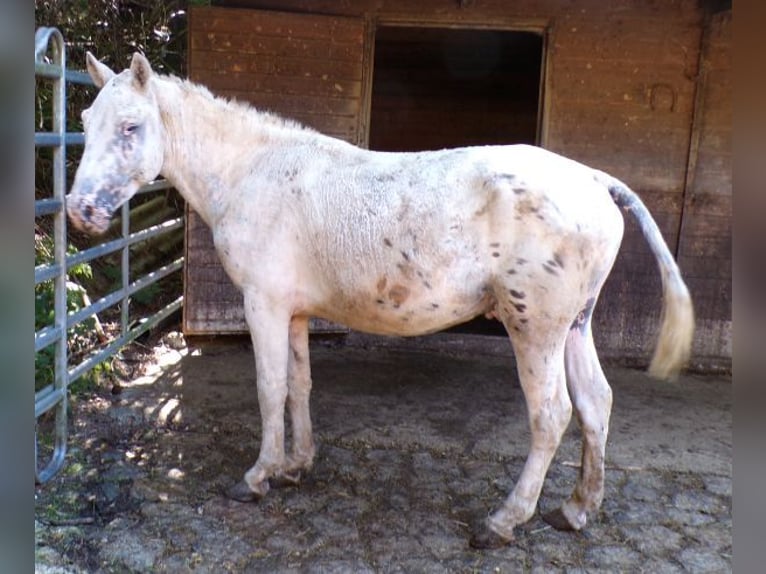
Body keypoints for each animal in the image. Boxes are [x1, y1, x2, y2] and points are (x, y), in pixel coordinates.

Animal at [66, 53, 696, 548]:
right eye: (86, 122)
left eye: (130, 126)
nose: (81, 211)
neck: (253, 171)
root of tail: (593, 180)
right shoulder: (294, 312)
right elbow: (298, 385)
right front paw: (296, 465)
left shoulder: (263, 305)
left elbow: (269, 389)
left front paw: (258, 476)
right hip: (573, 327)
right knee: (595, 403)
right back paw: (577, 509)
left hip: (535, 329)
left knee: (552, 416)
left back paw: (504, 521)